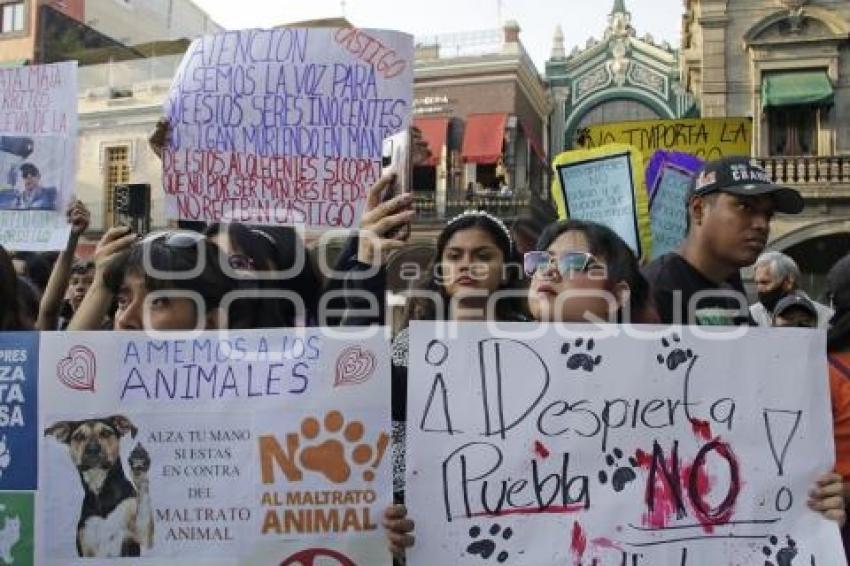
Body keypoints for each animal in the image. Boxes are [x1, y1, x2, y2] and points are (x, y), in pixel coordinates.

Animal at [44, 414, 155, 556]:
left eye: (106, 433)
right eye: (79, 436)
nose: (92, 449)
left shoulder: (141, 536)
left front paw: (139, 466)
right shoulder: (86, 547)